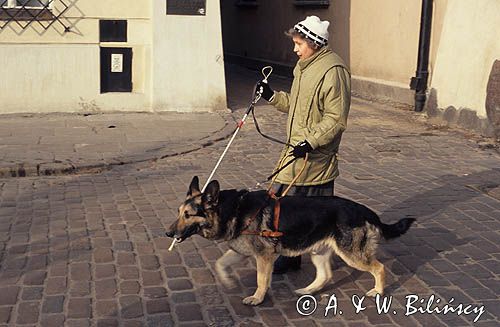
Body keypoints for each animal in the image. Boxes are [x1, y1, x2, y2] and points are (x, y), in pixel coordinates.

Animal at [166, 178, 416, 306]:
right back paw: (307, 290)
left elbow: (261, 279)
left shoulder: (264, 257)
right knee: (325, 276)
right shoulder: (240, 251)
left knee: (379, 268)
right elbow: (220, 263)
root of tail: (365, 210)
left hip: (352, 255)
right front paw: (227, 281)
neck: (233, 209)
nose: (167, 233)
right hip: (318, 252)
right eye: (178, 212)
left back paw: (378, 292)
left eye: (188, 215)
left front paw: (257, 298)